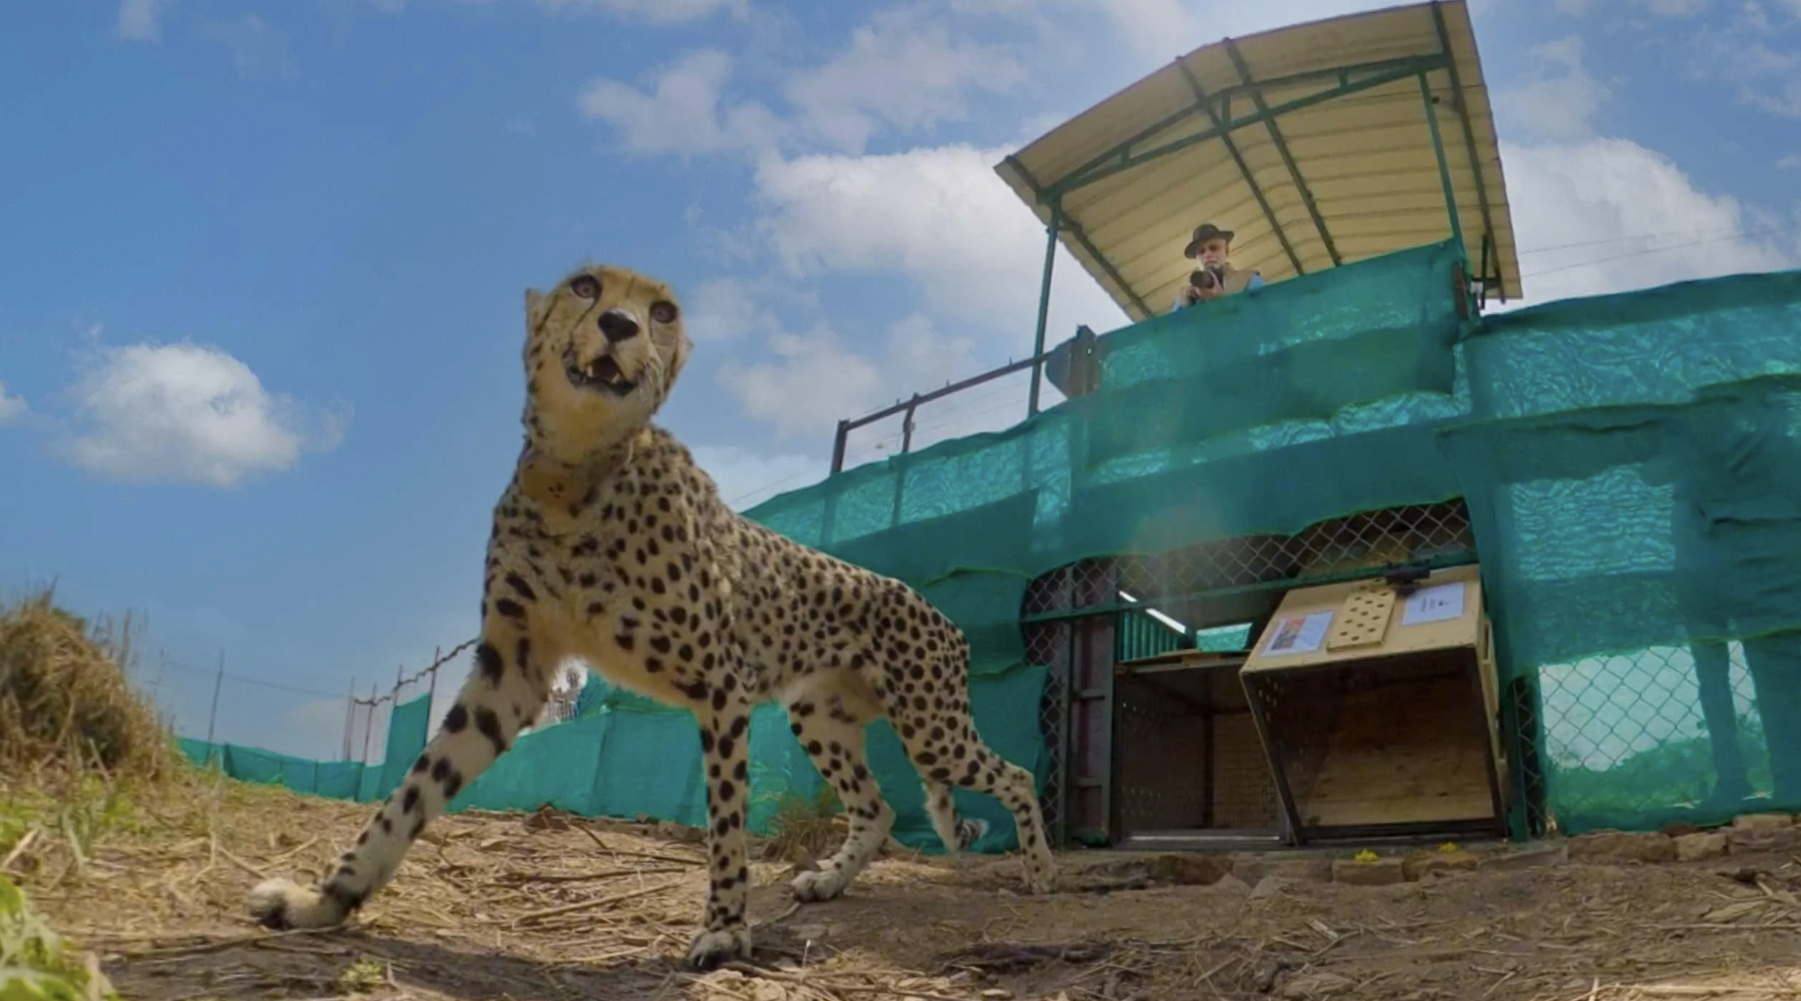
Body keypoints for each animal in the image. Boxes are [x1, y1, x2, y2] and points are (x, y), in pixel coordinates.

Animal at [241, 264, 1051, 972]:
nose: (619, 325)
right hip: (821, 717)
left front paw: (724, 932)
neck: (576, 473)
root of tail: (936, 608)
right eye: (583, 288)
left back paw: (1040, 870)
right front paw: (323, 901)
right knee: (878, 808)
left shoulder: (720, 685)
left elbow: (726, 821)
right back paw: (829, 879)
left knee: (1013, 772)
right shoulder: (514, 669)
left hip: (930, 727)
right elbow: (410, 795)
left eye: (659, 311)